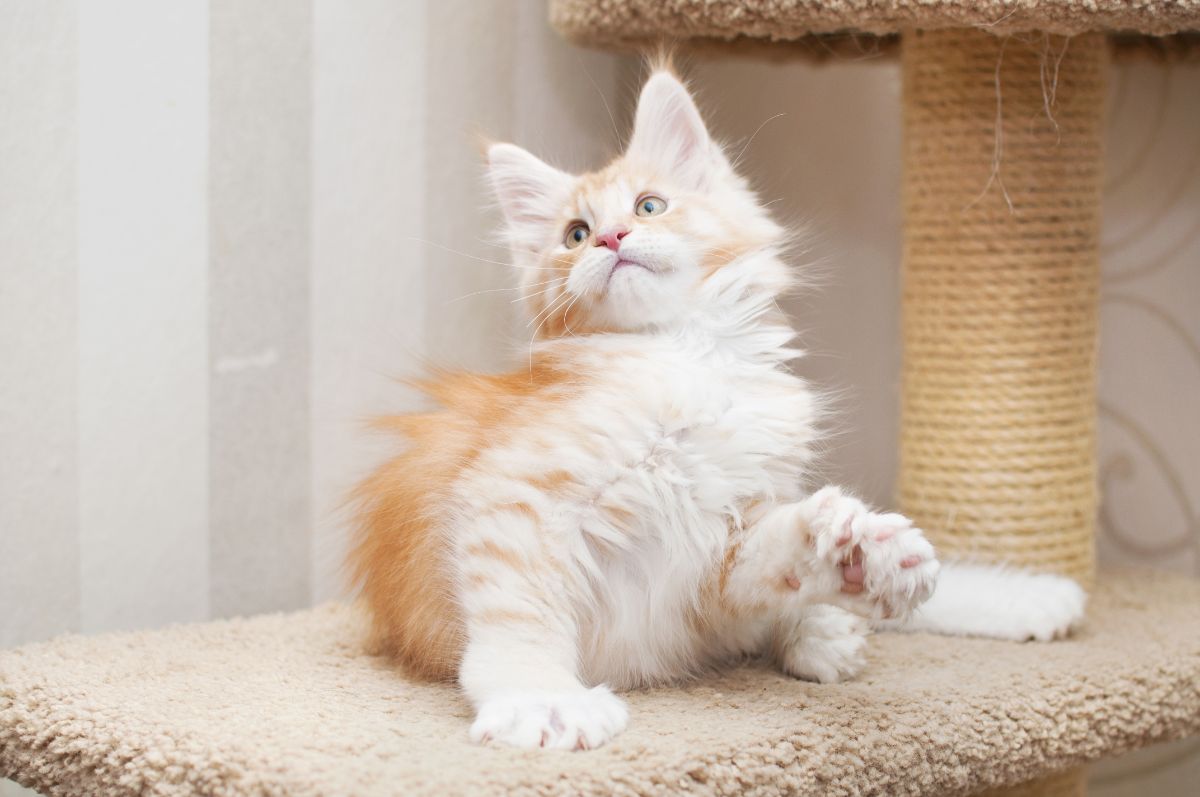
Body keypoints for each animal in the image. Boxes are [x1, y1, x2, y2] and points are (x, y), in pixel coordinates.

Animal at [348, 65, 1089, 748]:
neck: (693, 354)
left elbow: (772, 554)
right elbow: (519, 612)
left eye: (648, 207)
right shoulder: (519, 495)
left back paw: (977, 593)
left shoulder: (721, 544)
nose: (612, 239)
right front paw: (541, 699)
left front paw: (851, 551)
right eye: (575, 235)